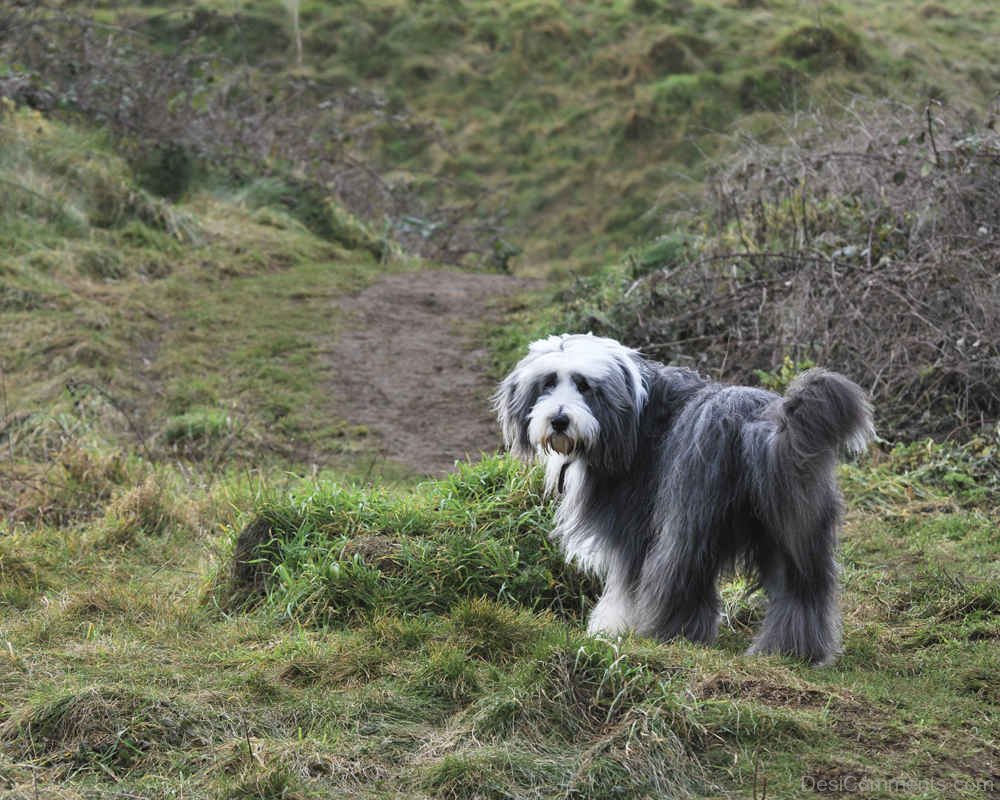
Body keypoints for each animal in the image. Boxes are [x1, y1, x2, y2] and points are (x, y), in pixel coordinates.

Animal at [496, 332, 872, 664]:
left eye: (584, 385)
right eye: (548, 383)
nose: (559, 420)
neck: (632, 416)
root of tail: (762, 424)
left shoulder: (631, 525)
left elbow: (624, 584)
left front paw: (610, 629)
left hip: (689, 511)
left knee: (681, 573)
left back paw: (667, 633)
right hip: (793, 522)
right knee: (803, 587)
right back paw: (792, 651)